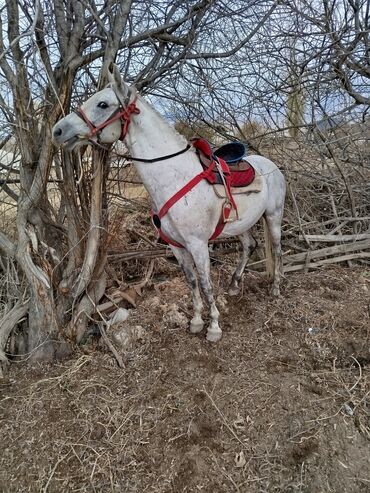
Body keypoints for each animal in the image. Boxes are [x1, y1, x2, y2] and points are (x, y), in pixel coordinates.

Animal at [52, 66, 284, 342]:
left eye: (103, 104)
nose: (57, 131)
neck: (174, 176)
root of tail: (270, 165)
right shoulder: (177, 246)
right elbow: (192, 282)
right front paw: (196, 321)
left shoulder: (198, 245)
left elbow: (205, 284)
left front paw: (214, 327)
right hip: (241, 224)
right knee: (249, 245)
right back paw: (235, 285)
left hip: (274, 217)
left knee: (277, 249)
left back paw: (276, 288)